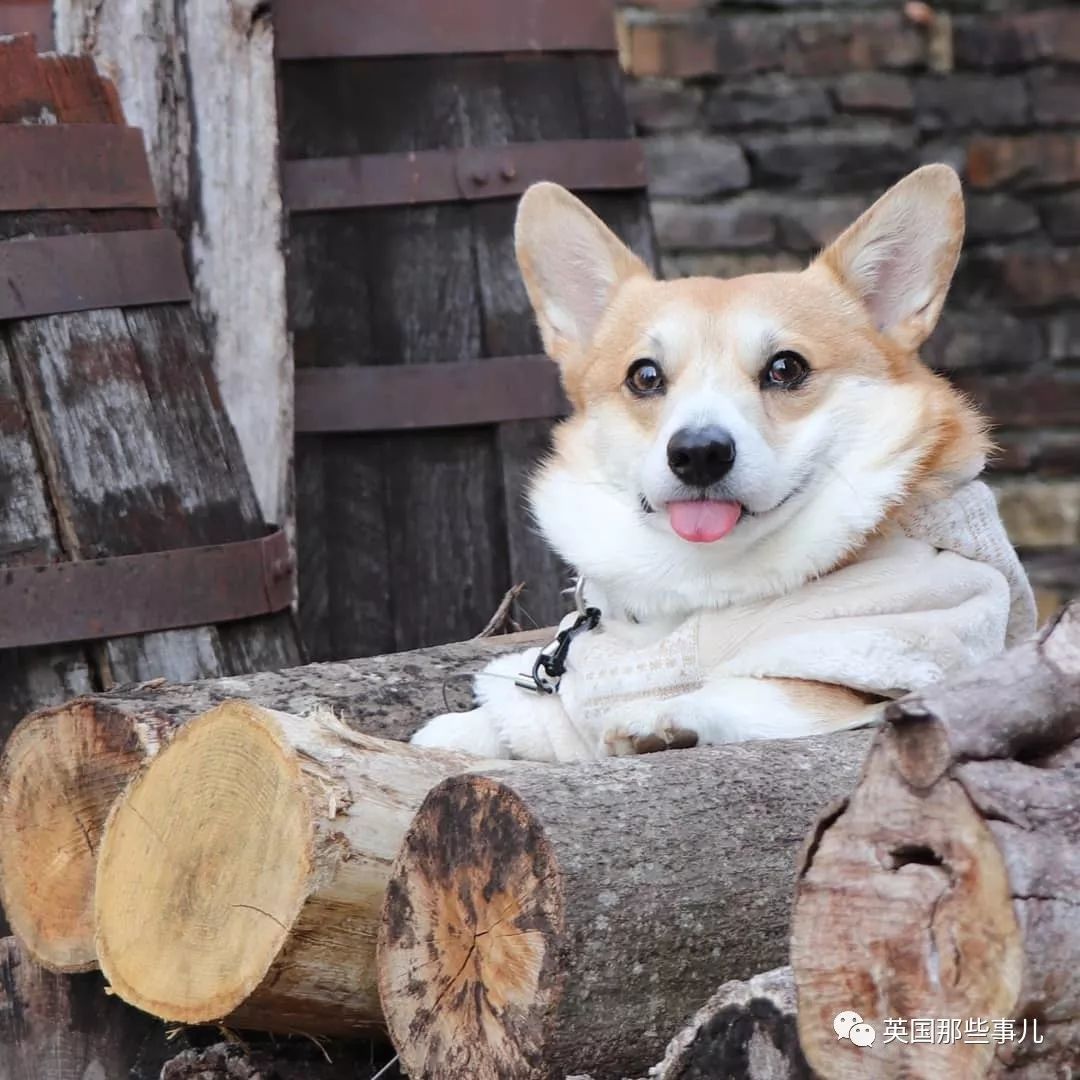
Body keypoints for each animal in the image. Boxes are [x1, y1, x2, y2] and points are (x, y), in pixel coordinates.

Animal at [410, 166, 1028, 760]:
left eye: (786, 368)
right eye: (645, 376)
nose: (699, 453)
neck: (700, 582)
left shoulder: (885, 659)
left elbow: (752, 686)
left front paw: (658, 716)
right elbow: (536, 721)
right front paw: (459, 732)